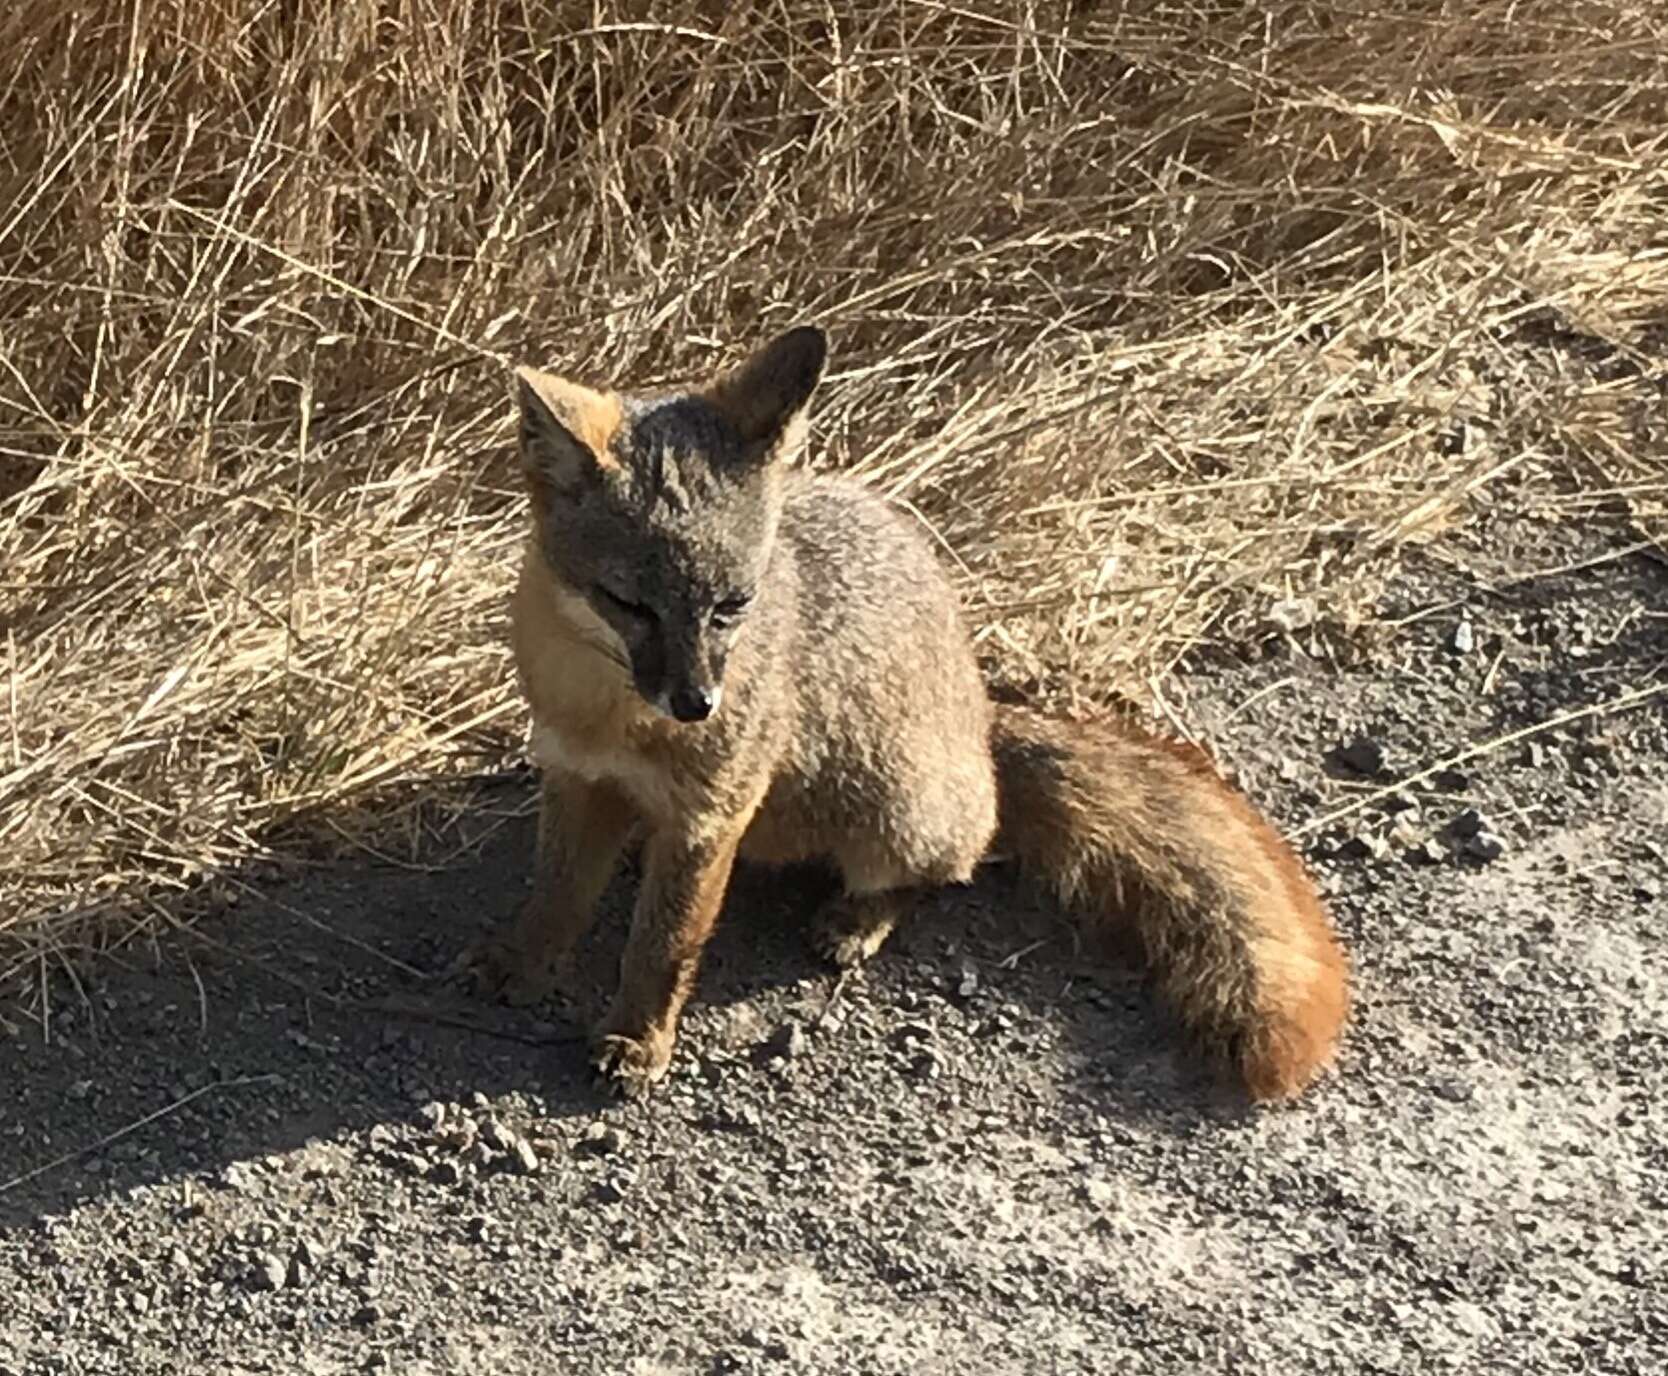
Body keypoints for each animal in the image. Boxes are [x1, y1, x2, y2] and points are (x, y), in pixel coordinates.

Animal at [463, 320, 1347, 1094]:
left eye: (733, 605)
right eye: (630, 604)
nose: (697, 704)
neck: (610, 715)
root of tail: (982, 723)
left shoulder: (710, 816)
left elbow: (664, 944)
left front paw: (637, 1038)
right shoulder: (575, 777)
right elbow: (557, 894)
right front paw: (524, 961)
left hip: (893, 815)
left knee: (947, 868)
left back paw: (858, 920)